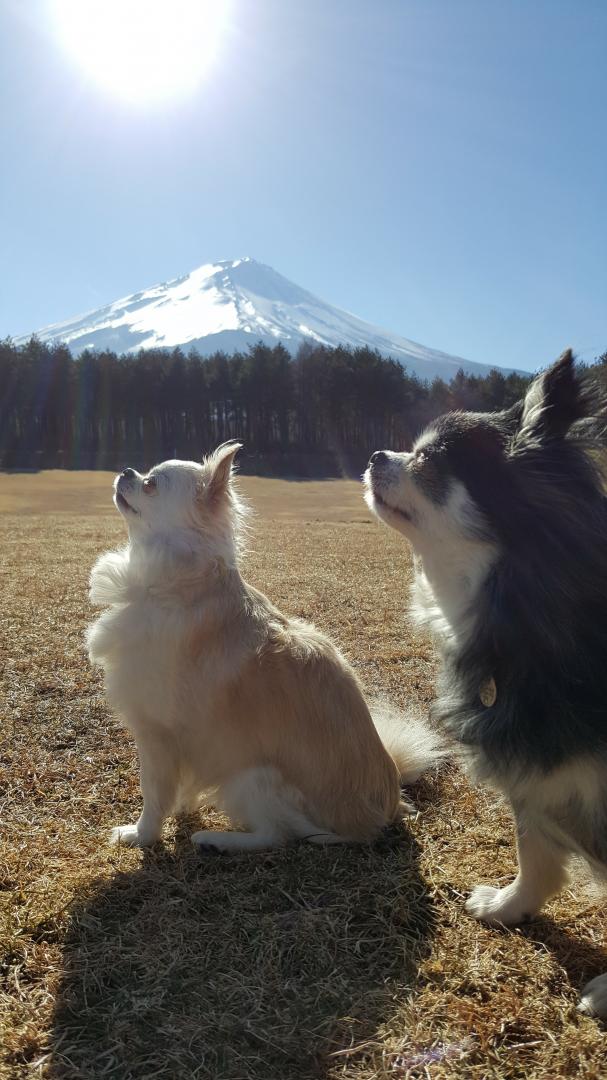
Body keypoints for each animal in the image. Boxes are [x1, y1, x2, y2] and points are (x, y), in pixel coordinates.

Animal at [87, 442, 436, 855]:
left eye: (151, 484)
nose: (126, 470)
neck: (179, 582)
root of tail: (385, 809)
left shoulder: (156, 732)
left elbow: (154, 793)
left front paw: (142, 835)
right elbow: (185, 783)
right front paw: (184, 809)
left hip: (250, 776)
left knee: (278, 836)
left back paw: (216, 840)